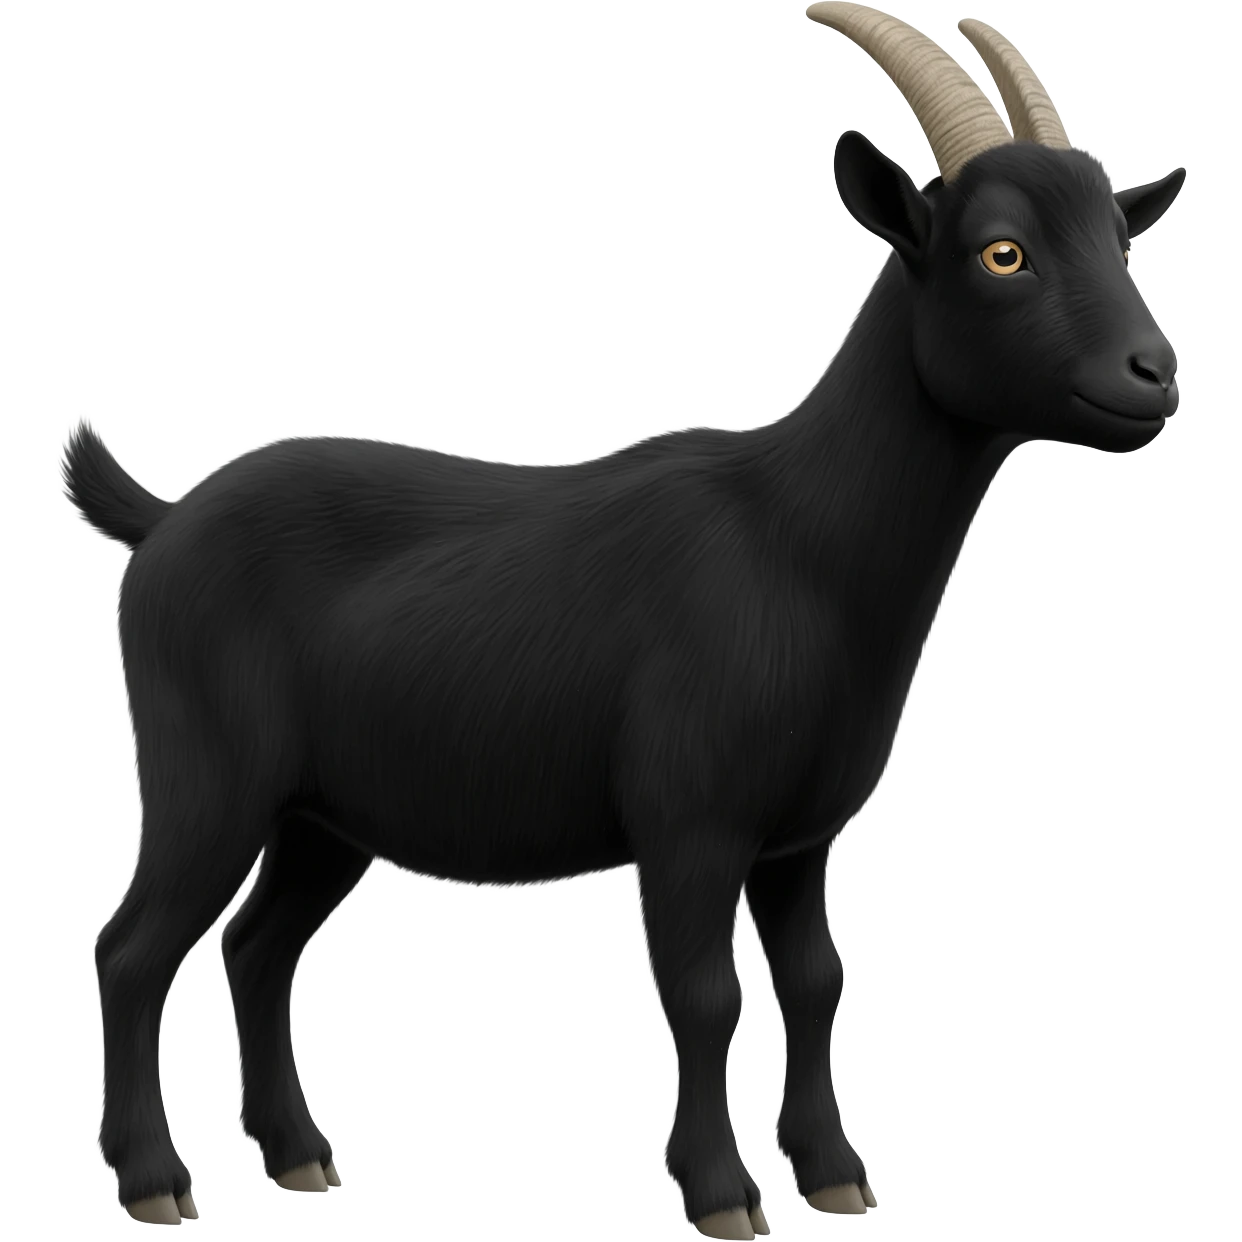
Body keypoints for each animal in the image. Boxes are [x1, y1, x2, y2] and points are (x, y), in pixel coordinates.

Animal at [66, 5, 1186, 1236]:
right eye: (1002, 251)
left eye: (1121, 240)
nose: (1153, 374)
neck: (799, 542)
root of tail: (161, 520)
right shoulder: (689, 816)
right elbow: (703, 995)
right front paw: (721, 1191)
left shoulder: (799, 835)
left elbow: (817, 981)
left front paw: (834, 1172)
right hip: (204, 776)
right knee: (133, 948)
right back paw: (154, 1177)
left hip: (322, 813)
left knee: (257, 948)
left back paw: (300, 1153)